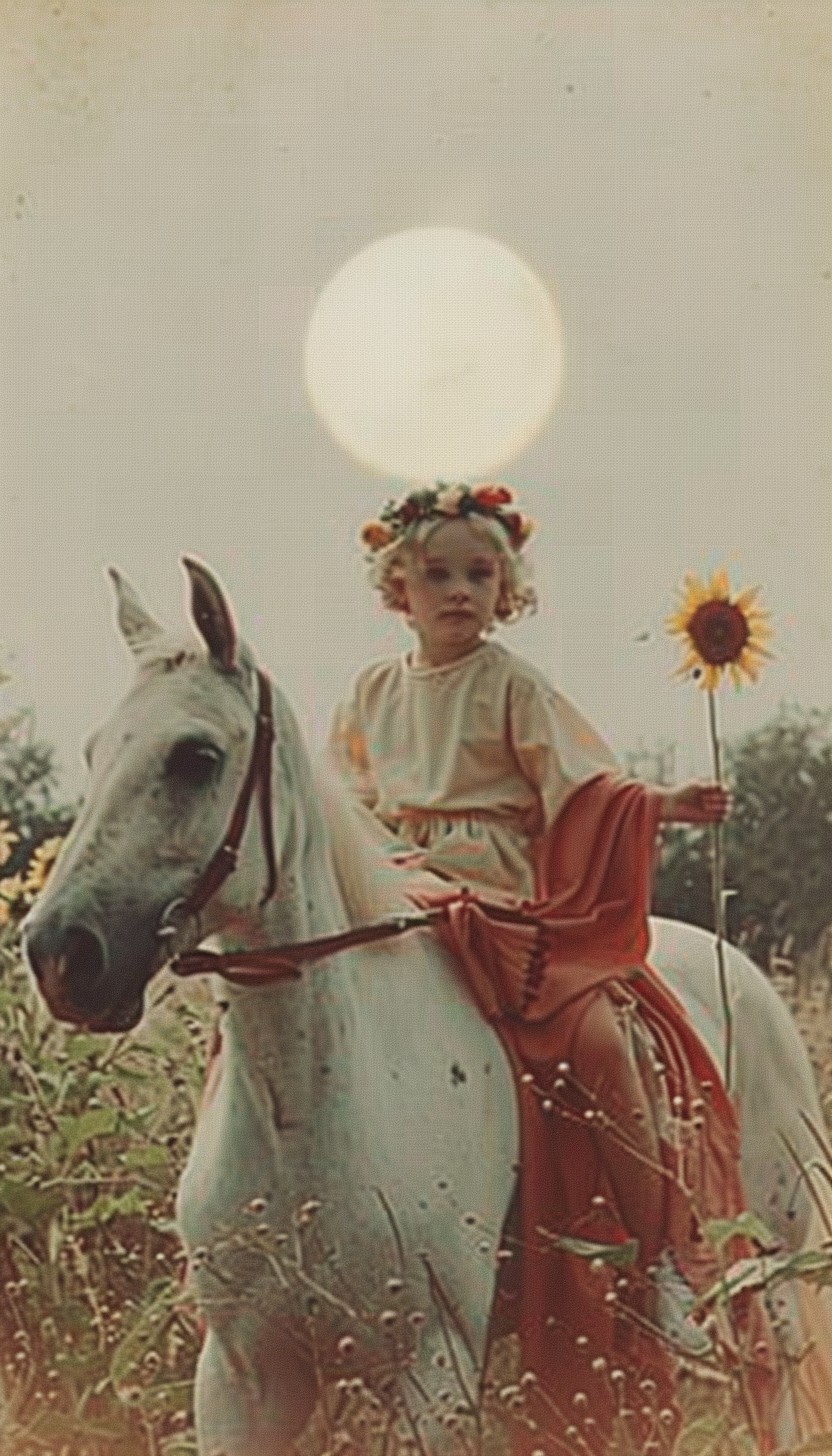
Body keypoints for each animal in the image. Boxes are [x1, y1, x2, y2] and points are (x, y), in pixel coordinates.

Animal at [22, 559, 832, 1456]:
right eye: (94, 751)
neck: (309, 1104)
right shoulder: (241, 1380)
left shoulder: (433, 1370)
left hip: (771, 1278)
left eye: (195, 756)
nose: (60, 954)